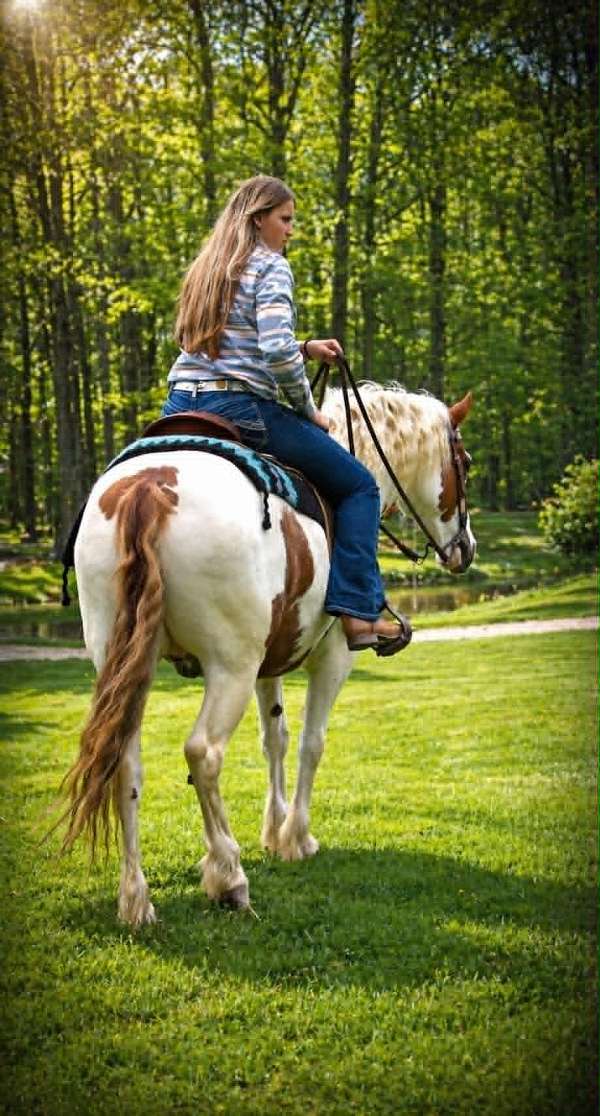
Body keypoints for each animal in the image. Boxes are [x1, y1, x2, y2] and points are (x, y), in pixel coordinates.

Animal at [59, 384, 475, 925]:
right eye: (464, 464)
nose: (466, 548)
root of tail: (150, 487)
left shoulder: (267, 664)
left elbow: (274, 738)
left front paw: (273, 831)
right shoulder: (332, 657)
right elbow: (312, 743)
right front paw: (296, 837)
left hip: (128, 662)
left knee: (125, 764)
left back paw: (136, 899)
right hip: (228, 667)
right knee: (203, 753)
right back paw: (227, 876)